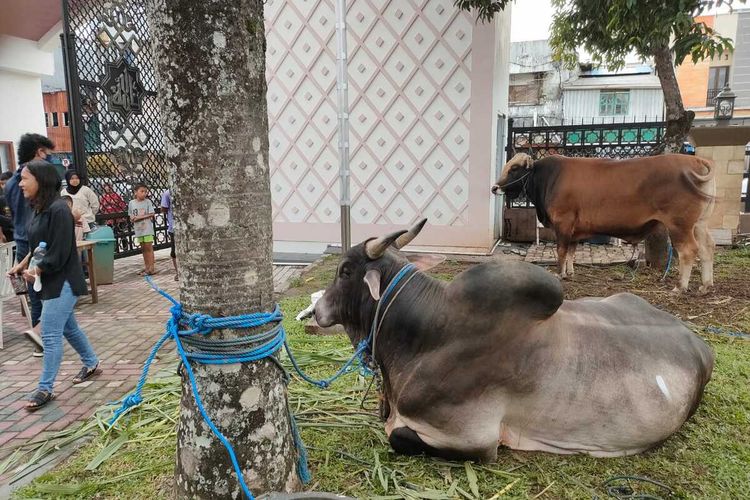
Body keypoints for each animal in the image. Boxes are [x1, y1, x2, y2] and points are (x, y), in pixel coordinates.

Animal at [316, 221, 716, 462]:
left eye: (345, 271)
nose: (317, 310)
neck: (426, 335)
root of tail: (701, 346)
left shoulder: (473, 439)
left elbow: (396, 435)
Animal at [494, 152, 716, 292]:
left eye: (514, 168)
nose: (494, 187)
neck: (550, 177)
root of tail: (696, 160)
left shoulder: (563, 223)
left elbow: (562, 251)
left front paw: (559, 274)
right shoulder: (575, 229)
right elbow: (571, 252)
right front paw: (569, 272)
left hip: (679, 225)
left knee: (689, 251)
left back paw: (680, 286)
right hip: (700, 224)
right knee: (707, 248)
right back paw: (705, 286)